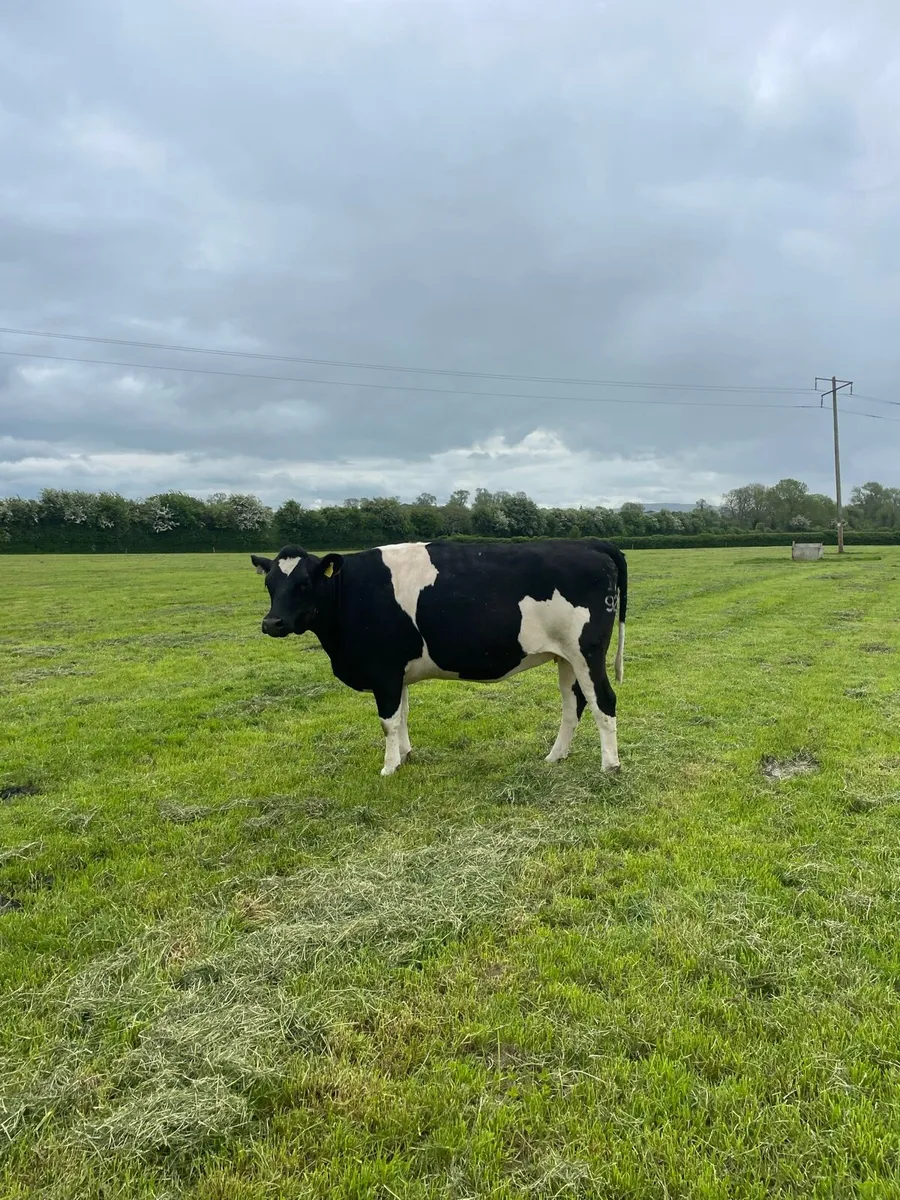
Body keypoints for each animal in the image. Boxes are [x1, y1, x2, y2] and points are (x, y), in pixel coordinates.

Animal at [250, 539, 627, 777]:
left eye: (303, 584)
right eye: (269, 585)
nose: (272, 623)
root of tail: (589, 543)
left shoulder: (383, 671)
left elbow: (388, 721)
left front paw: (389, 767)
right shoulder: (396, 672)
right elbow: (402, 715)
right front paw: (405, 755)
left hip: (586, 651)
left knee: (604, 700)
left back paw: (610, 766)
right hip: (565, 657)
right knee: (574, 703)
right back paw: (555, 756)